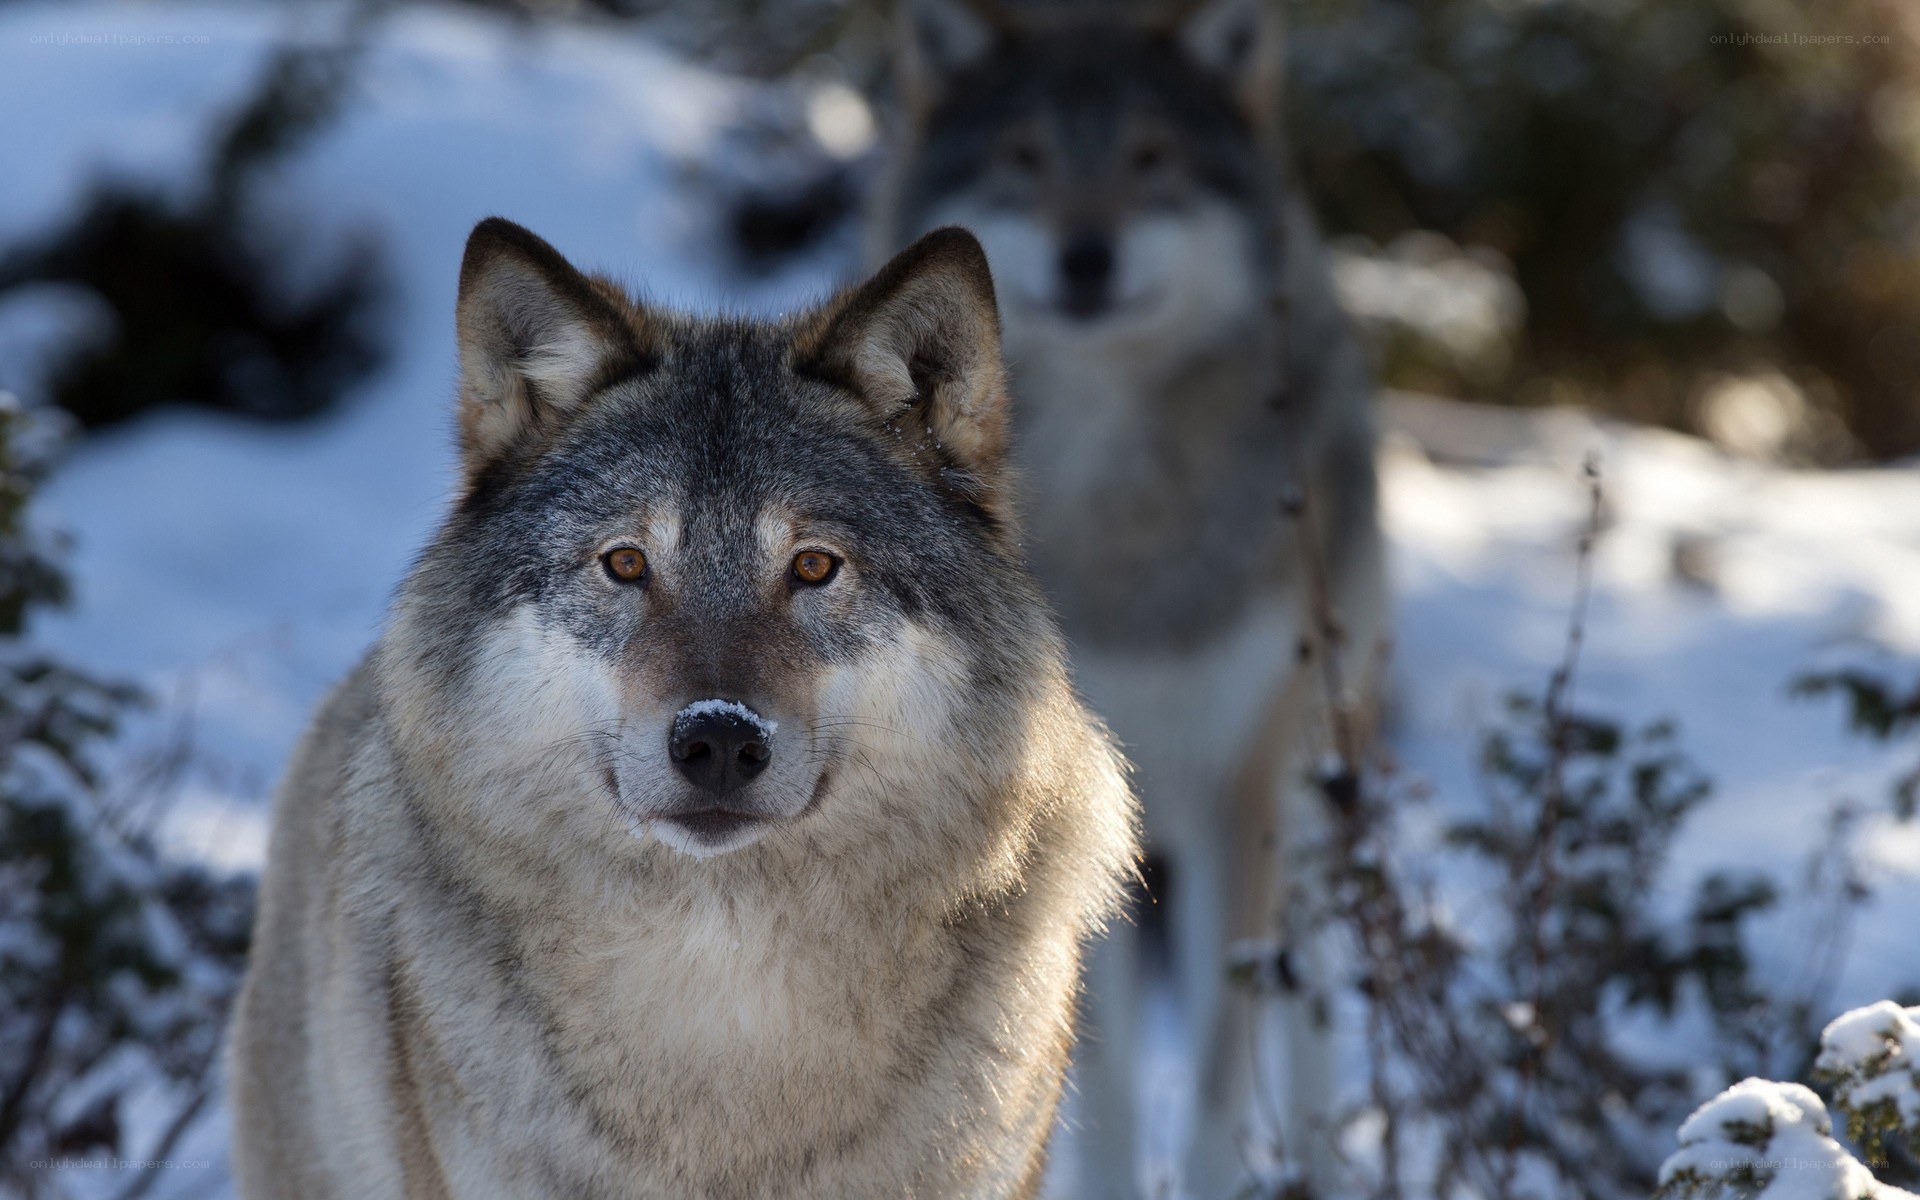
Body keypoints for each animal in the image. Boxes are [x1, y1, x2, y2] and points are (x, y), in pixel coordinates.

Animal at [873, 1, 1388, 1194]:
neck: (1122, 519)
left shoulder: (1238, 793)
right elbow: (1092, 1078)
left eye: (1152, 160)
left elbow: (1215, 1076)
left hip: (1311, 784)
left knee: (1308, 1005)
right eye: (1025, 158)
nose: (1087, 255)